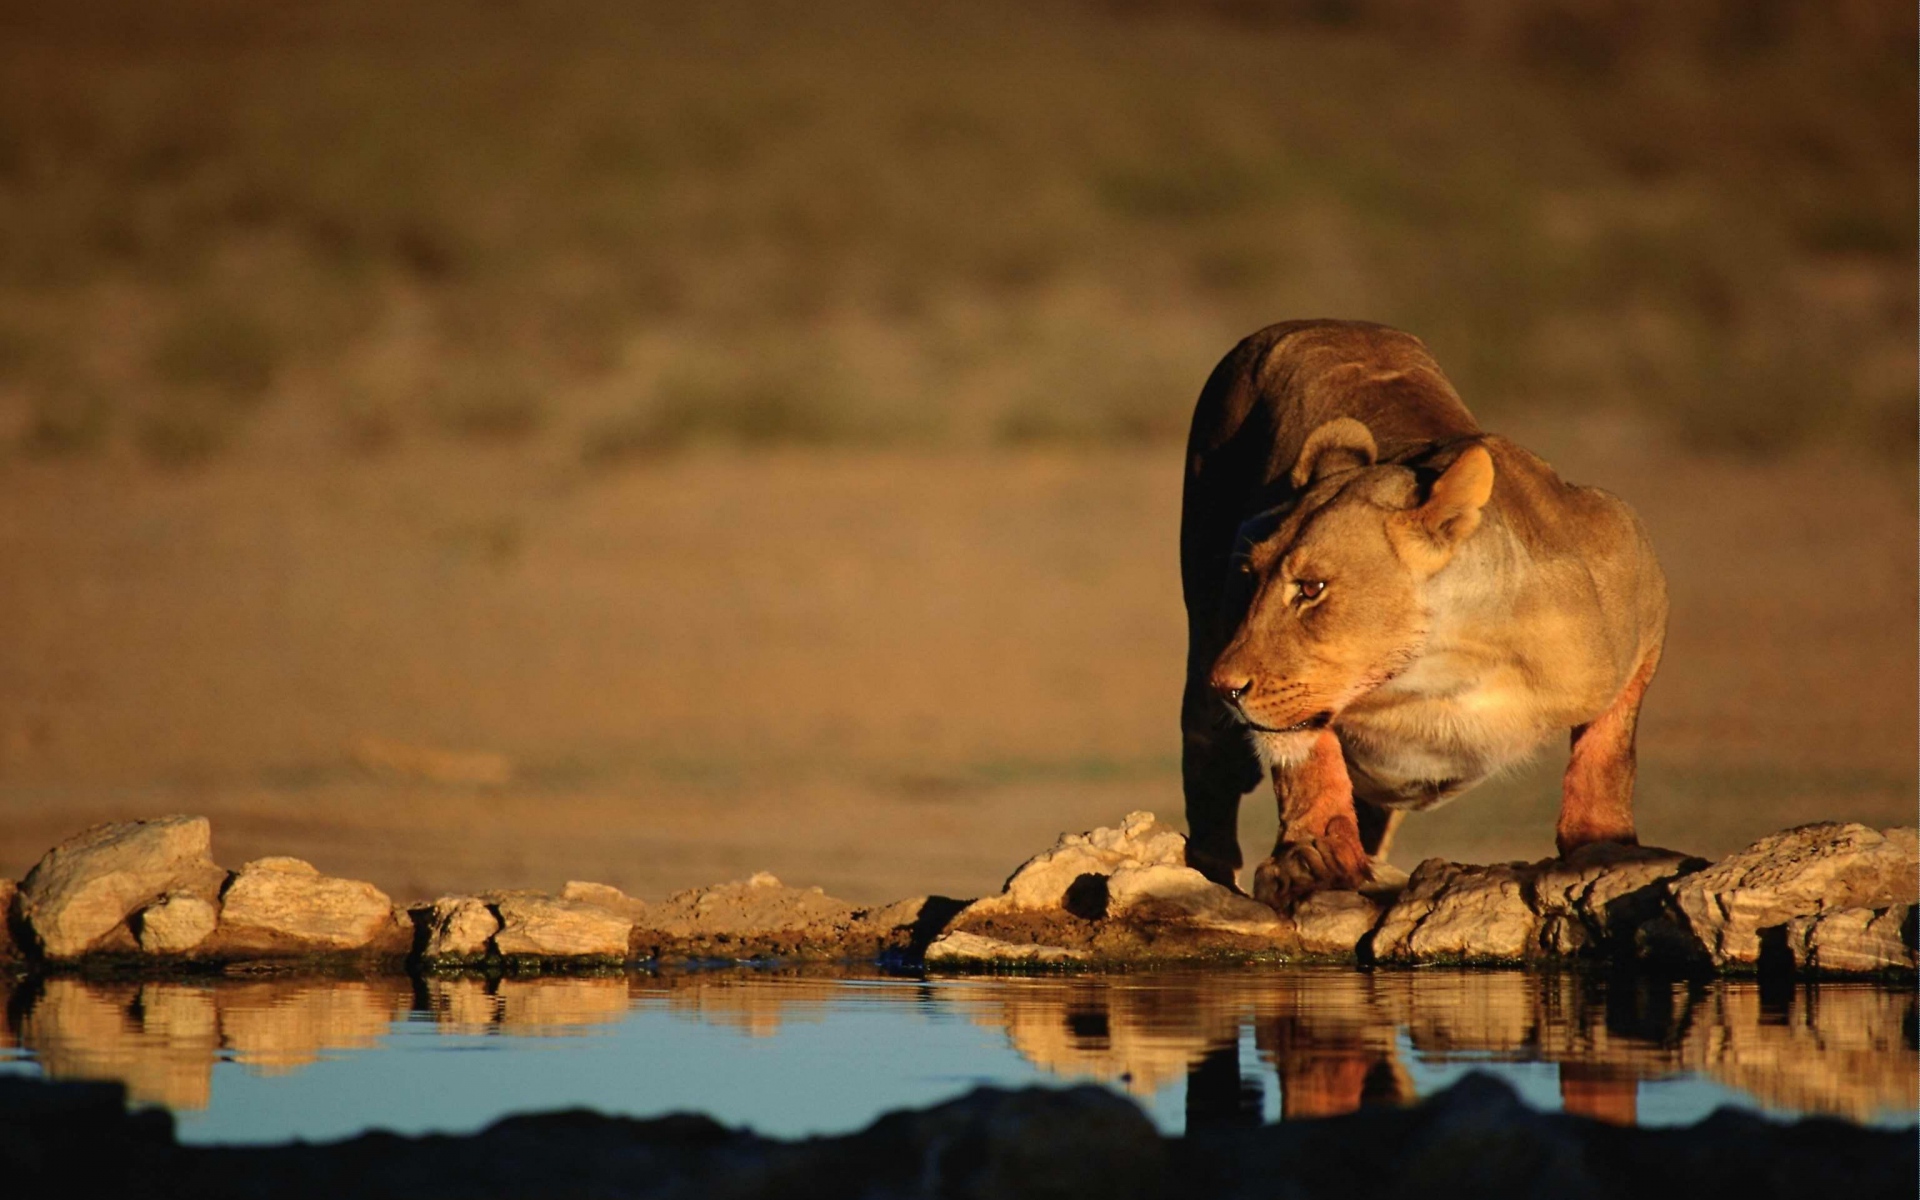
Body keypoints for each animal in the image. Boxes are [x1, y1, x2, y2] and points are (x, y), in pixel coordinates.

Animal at [1180, 320, 1668, 910]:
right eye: (1252, 577)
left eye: (1311, 588)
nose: (1226, 686)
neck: (1440, 670)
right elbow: (1307, 758)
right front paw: (1312, 859)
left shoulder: (1636, 577)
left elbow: (1610, 748)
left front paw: (1603, 843)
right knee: (1207, 766)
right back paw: (1210, 874)